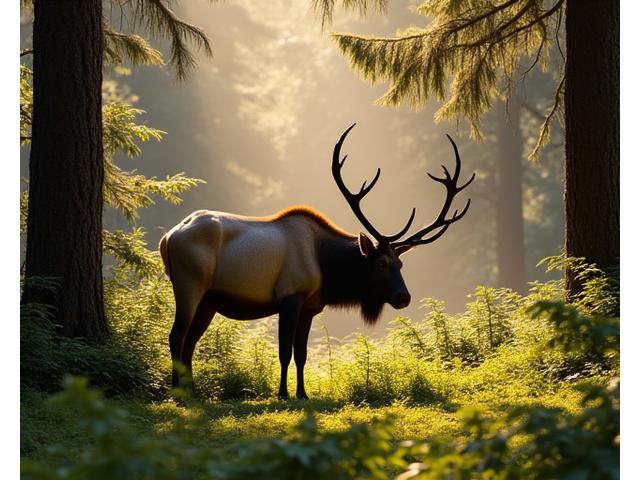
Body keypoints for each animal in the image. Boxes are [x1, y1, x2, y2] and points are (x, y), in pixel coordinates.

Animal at [159, 124, 475, 399]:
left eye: (401, 264)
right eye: (381, 263)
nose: (403, 296)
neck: (327, 268)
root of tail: (168, 238)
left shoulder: (310, 307)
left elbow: (302, 354)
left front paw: (303, 393)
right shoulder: (290, 295)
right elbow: (284, 351)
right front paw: (283, 394)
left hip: (209, 300)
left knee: (190, 342)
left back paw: (193, 392)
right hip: (188, 284)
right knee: (177, 335)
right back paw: (176, 393)